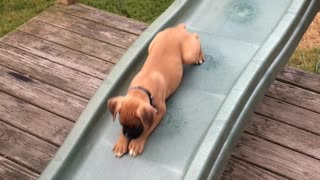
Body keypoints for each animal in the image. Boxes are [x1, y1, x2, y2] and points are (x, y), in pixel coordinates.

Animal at [107, 23, 202, 158]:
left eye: (138, 125)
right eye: (121, 124)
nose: (128, 135)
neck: (141, 89)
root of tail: (177, 28)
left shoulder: (160, 111)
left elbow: (148, 127)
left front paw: (136, 144)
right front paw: (121, 143)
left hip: (189, 54)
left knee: (196, 36)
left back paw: (200, 57)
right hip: (151, 46)